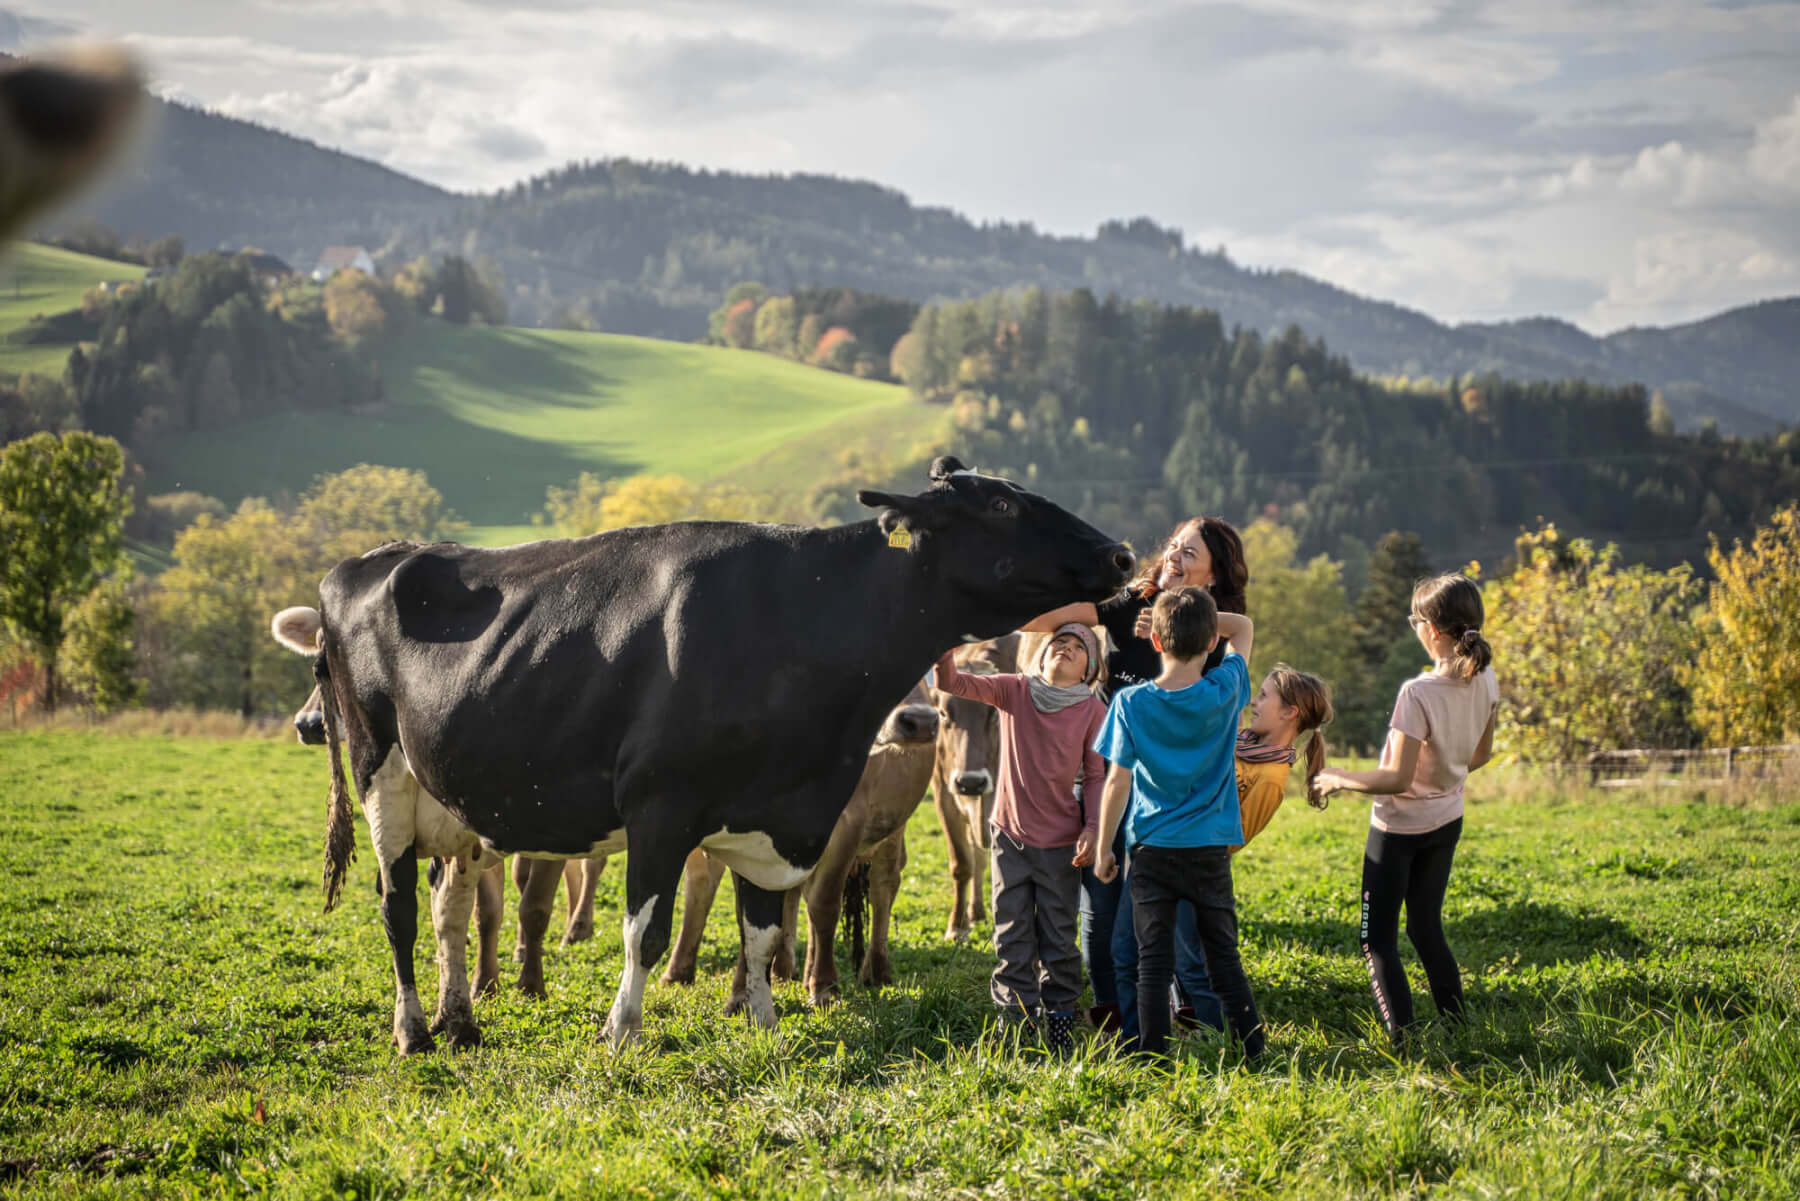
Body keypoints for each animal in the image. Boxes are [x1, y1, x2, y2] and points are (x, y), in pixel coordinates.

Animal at [304, 460, 1130, 1051]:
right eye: (1001, 507)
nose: (1121, 552)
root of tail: (367, 560)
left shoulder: (776, 815)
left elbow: (761, 930)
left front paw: (764, 1025)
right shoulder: (660, 807)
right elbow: (646, 928)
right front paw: (622, 1031)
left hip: (456, 801)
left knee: (447, 904)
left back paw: (461, 1020)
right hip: (383, 777)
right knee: (398, 906)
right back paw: (413, 1029)